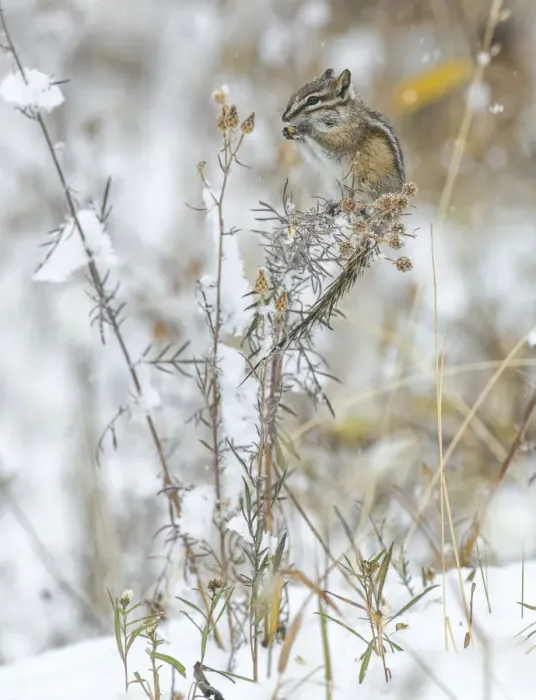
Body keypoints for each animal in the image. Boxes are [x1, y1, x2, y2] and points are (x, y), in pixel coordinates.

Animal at [282, 68, 406, 204]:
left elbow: (333, 143)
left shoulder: (350, 135)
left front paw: (307, 128)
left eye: (312, 100)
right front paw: (289, 133)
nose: (285, 117)